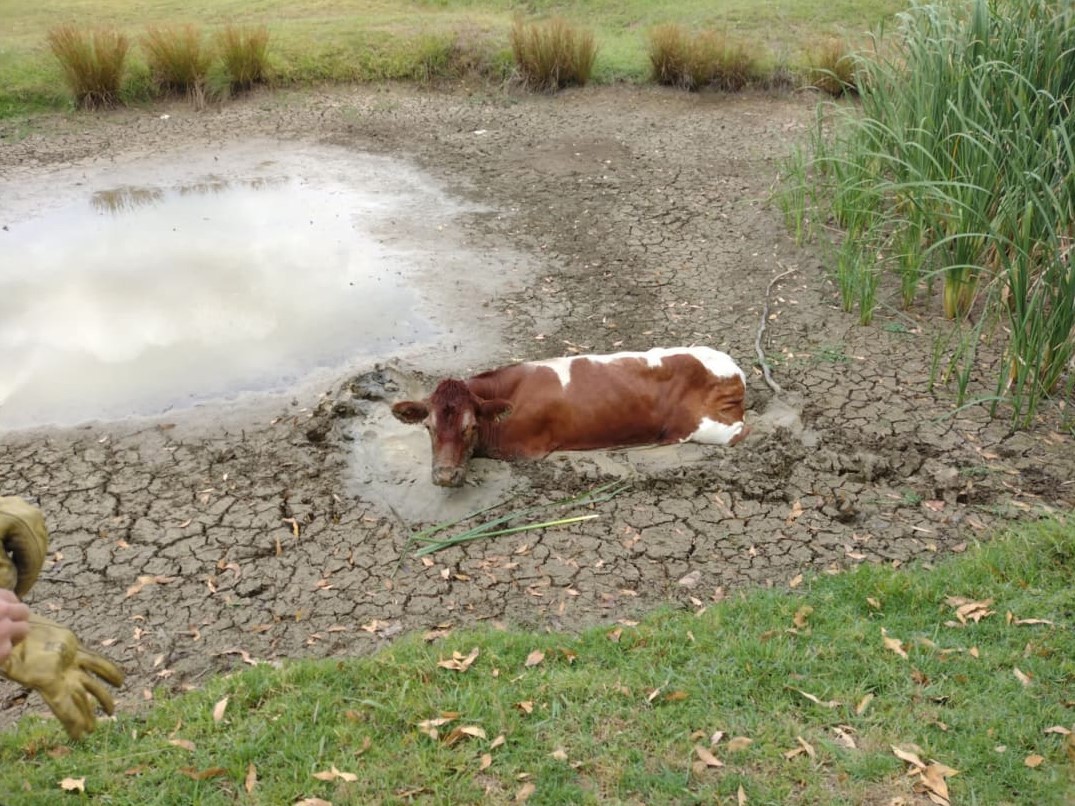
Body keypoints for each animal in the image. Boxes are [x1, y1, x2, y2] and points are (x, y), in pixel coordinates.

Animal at [391, 346, 749, 487]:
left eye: (470, 427)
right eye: (428, 426)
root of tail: (734, 369)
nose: (444, 477)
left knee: (742, 431)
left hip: (707, 427)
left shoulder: (524, 451)